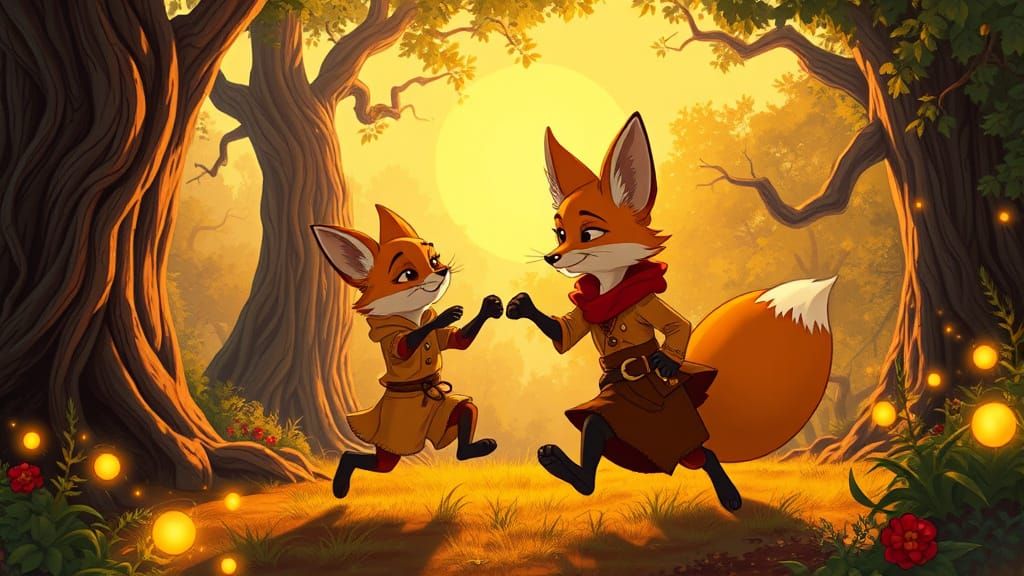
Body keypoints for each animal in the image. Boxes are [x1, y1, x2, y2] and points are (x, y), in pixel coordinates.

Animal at [312, 205, 502, 499]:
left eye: (434, 260)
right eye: (408, 275)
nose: (443, 270)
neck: (411, 316)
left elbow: (457, 341)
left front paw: (489, 306)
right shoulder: (391, 336)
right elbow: (403, 346)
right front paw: (444, 315)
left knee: (465, 409)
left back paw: (469, 450)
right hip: (393, 439)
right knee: (372, 461)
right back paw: (341, 481)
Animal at [506, 111, 834, 511]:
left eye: (589, 234)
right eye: (559, 233)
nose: (552, 258)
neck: (612, 290)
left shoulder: (647, 305)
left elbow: (679, 325)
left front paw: (664, 362)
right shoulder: (589, 330)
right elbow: (566, 335)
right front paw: (521, 306)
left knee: (701, 453)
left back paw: (728, 496)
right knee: (640, 437)